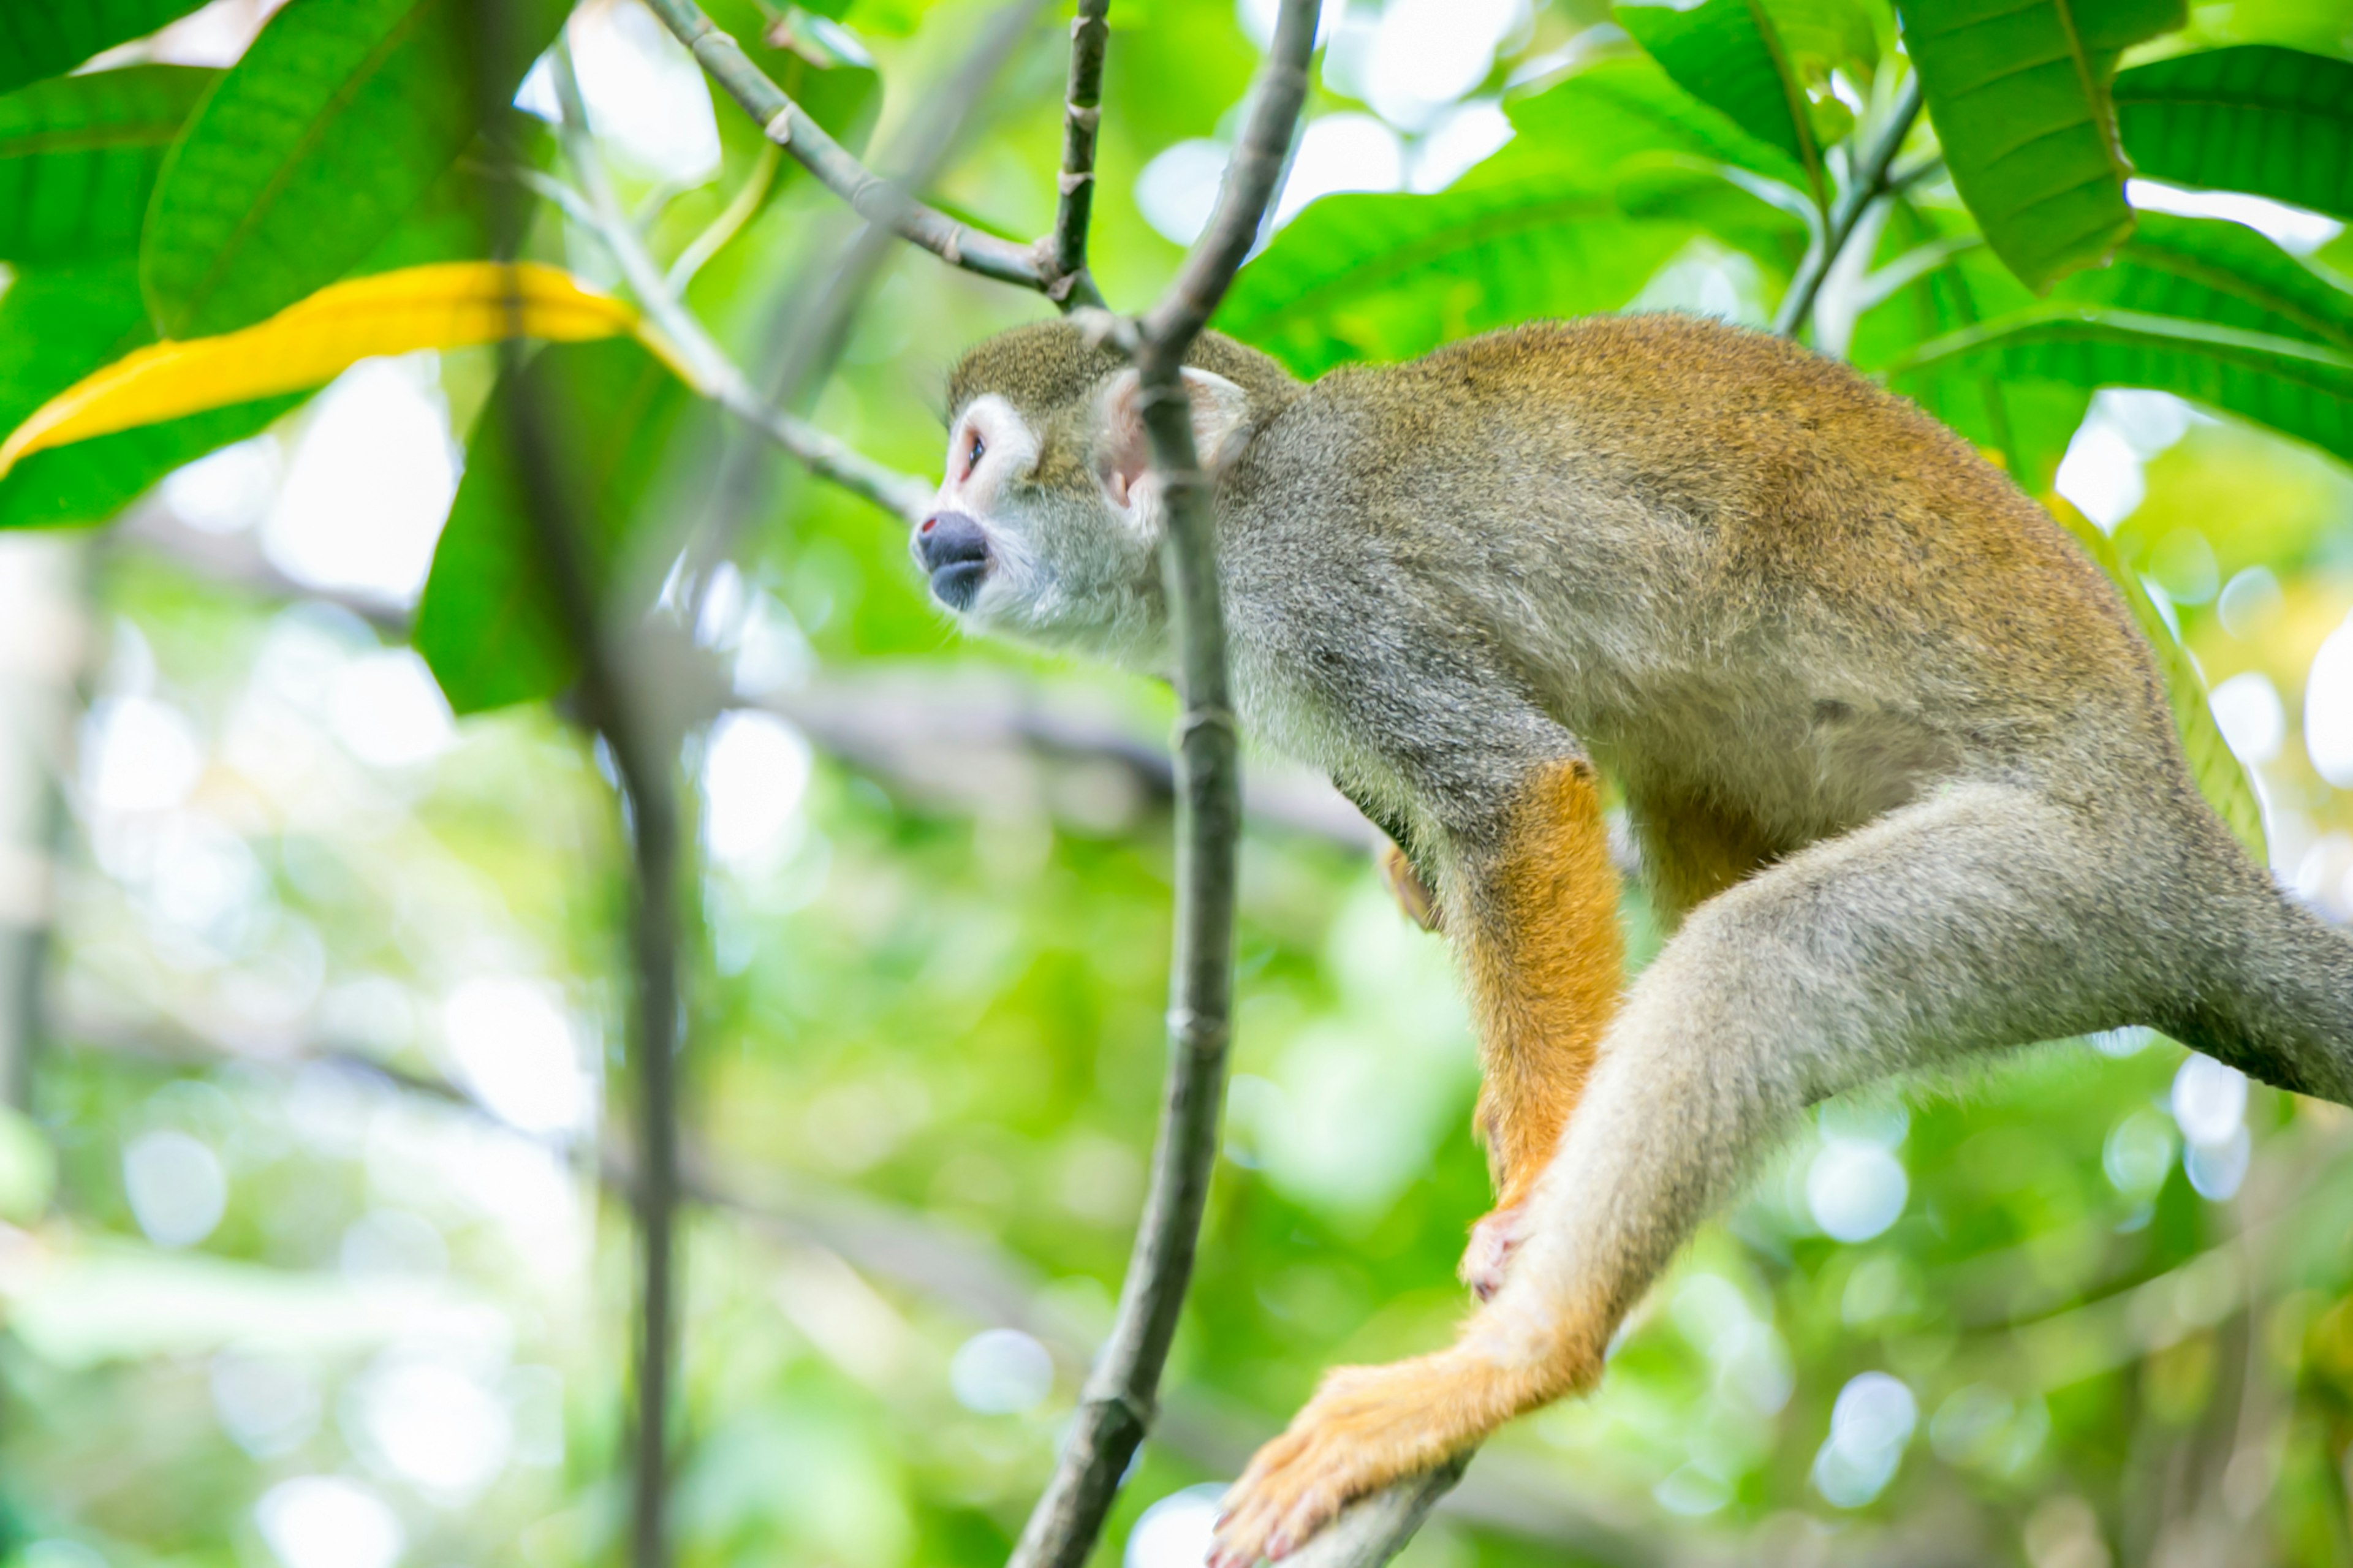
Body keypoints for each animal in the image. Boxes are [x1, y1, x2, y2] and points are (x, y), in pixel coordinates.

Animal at [908, 311, 2353, 1553]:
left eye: (973, 454)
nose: (925, 525)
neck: (1235, 500)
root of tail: (2186, 845)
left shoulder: (1310, 593)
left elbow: (1515, 791)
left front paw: (1539, 1172)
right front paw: (1420, 900)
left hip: (2062, 884)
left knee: (1762, 956)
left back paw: (1525, 1353)